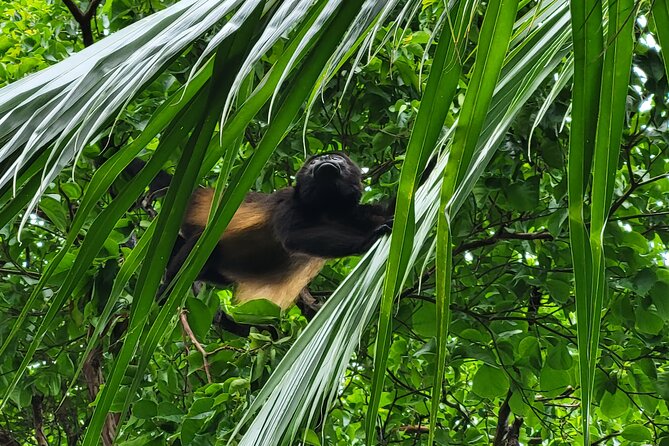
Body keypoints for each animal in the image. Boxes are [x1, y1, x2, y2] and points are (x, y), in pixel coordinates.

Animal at [165, 152, 394, 310]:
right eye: (313, 162)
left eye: (337, 157)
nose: (326, 158)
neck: (326, 206)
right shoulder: (287, 200)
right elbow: (293, 237)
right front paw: (367, 240)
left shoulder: (352, 214)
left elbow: (387, 213)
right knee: (198, 244)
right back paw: (167, 287)